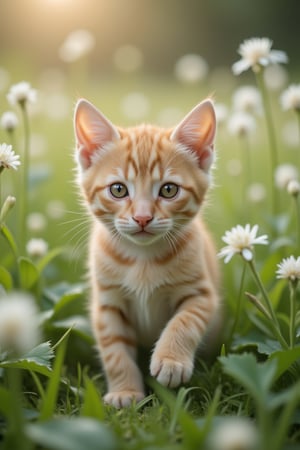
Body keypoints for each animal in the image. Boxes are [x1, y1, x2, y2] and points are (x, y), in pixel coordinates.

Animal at [74, 98, 220, 408]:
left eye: (169, 190)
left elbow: (185, 321)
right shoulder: (107, 305)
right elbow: (115, 352)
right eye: (118, 190)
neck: (142, 259)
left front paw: (171, 360)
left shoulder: (202, 294)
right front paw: (125, 392)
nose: (142, 218)